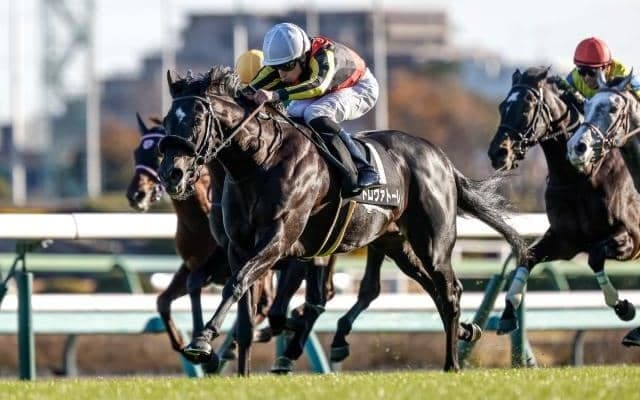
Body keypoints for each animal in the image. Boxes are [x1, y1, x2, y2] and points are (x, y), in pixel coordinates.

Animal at [156, 66, 528, 373]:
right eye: (167, 122)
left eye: (194, 122)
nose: (172, 174)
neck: (260, 160)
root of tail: (441, 159)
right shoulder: (239, 247)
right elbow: (247, 315)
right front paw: (240, 366)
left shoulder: (280, 241)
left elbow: (240, 286)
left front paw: (203, 341)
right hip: (395, 244)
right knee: (431, 288)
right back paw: (465, 330)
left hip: (433, 244)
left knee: (449, 291)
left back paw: (452, 363)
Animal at [487, 67, 640, 334]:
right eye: (502, 106)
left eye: (526, 108)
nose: (498, 153)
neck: (578, 176)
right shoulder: (566, 240)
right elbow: (528, 257)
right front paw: (508, 312)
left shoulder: (631, 236)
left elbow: (595, 256)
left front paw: (623, 306)